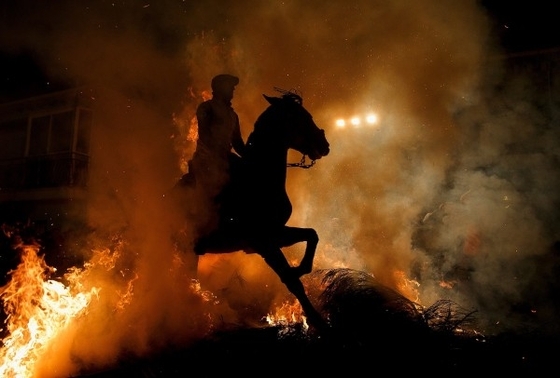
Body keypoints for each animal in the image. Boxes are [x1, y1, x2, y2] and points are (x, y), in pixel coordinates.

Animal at [177, 89, 330, 330]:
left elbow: (312, 235)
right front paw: (318, 321)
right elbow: (292, 282)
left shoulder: (275, 233)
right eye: (303, 117)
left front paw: (301, 268)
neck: (258, 177)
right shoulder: (264, 242)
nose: (324, 144)